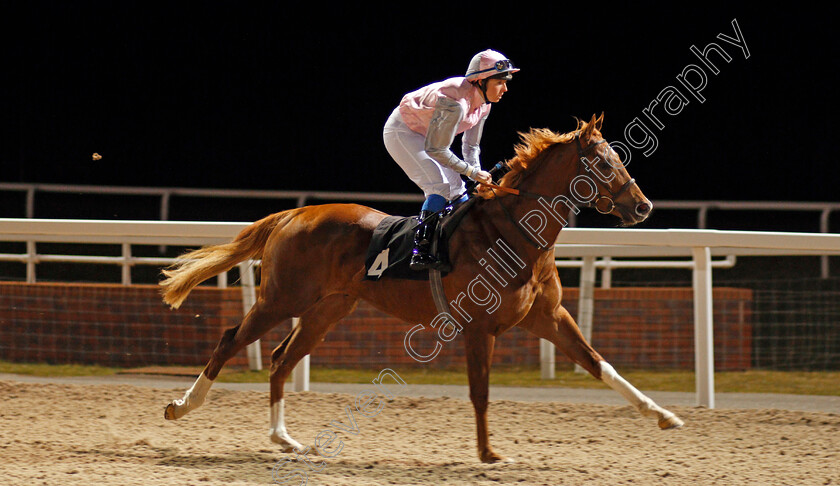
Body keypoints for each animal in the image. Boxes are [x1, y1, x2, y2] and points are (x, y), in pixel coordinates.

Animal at [158, 113, 684, 464]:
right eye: (604, 163)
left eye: (616, 158)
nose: (643, 207)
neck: (516, 231)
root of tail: (294, 213)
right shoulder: (480, 327)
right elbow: (480, 391)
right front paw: (490, 454)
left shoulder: (548, 317)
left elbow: (599, 363)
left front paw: (664, 415)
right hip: (282, 298)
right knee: (231, 339)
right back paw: (183, 406)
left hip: (328, 309)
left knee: (281, 358)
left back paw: (283, 438)